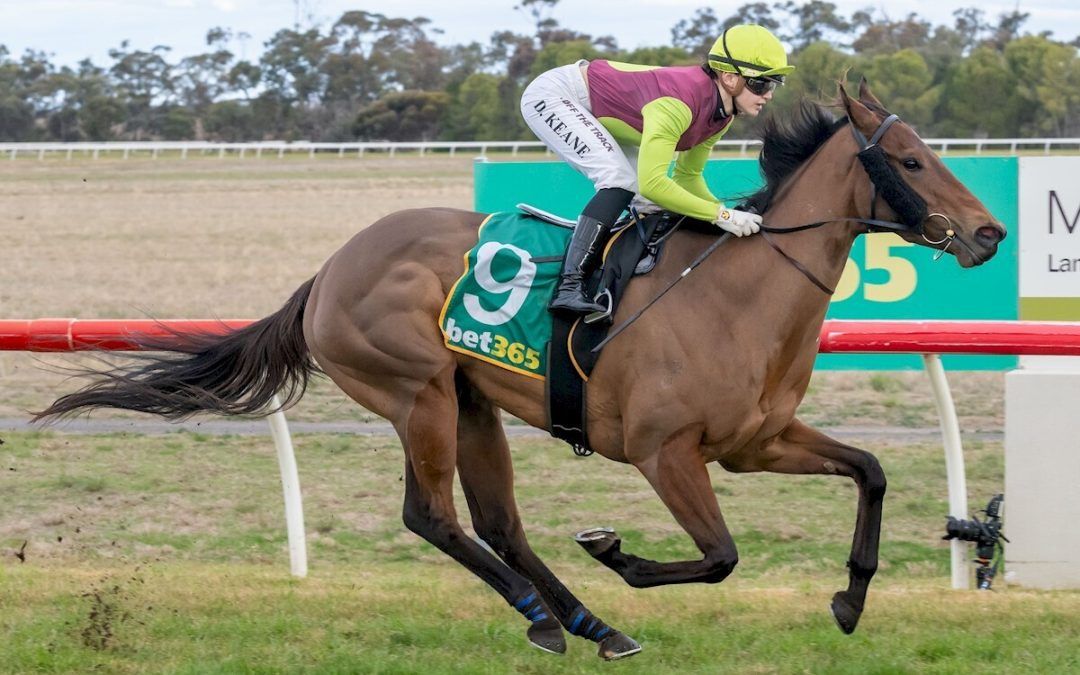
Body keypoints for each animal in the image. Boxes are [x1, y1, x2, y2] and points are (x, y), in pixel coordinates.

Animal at [35, 81, 1002, 660]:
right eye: (911, 161)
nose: (990, 232)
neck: (736, 294)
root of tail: (331, 268)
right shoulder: (663, 452)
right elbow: (721, 555)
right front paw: (619, 552)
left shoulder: (756, 442)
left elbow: (870, 471)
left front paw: (850, 599)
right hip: (418, 391)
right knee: (430, 514)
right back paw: (549, 616)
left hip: (473, 403)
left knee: (499, 522)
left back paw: (589, 621)